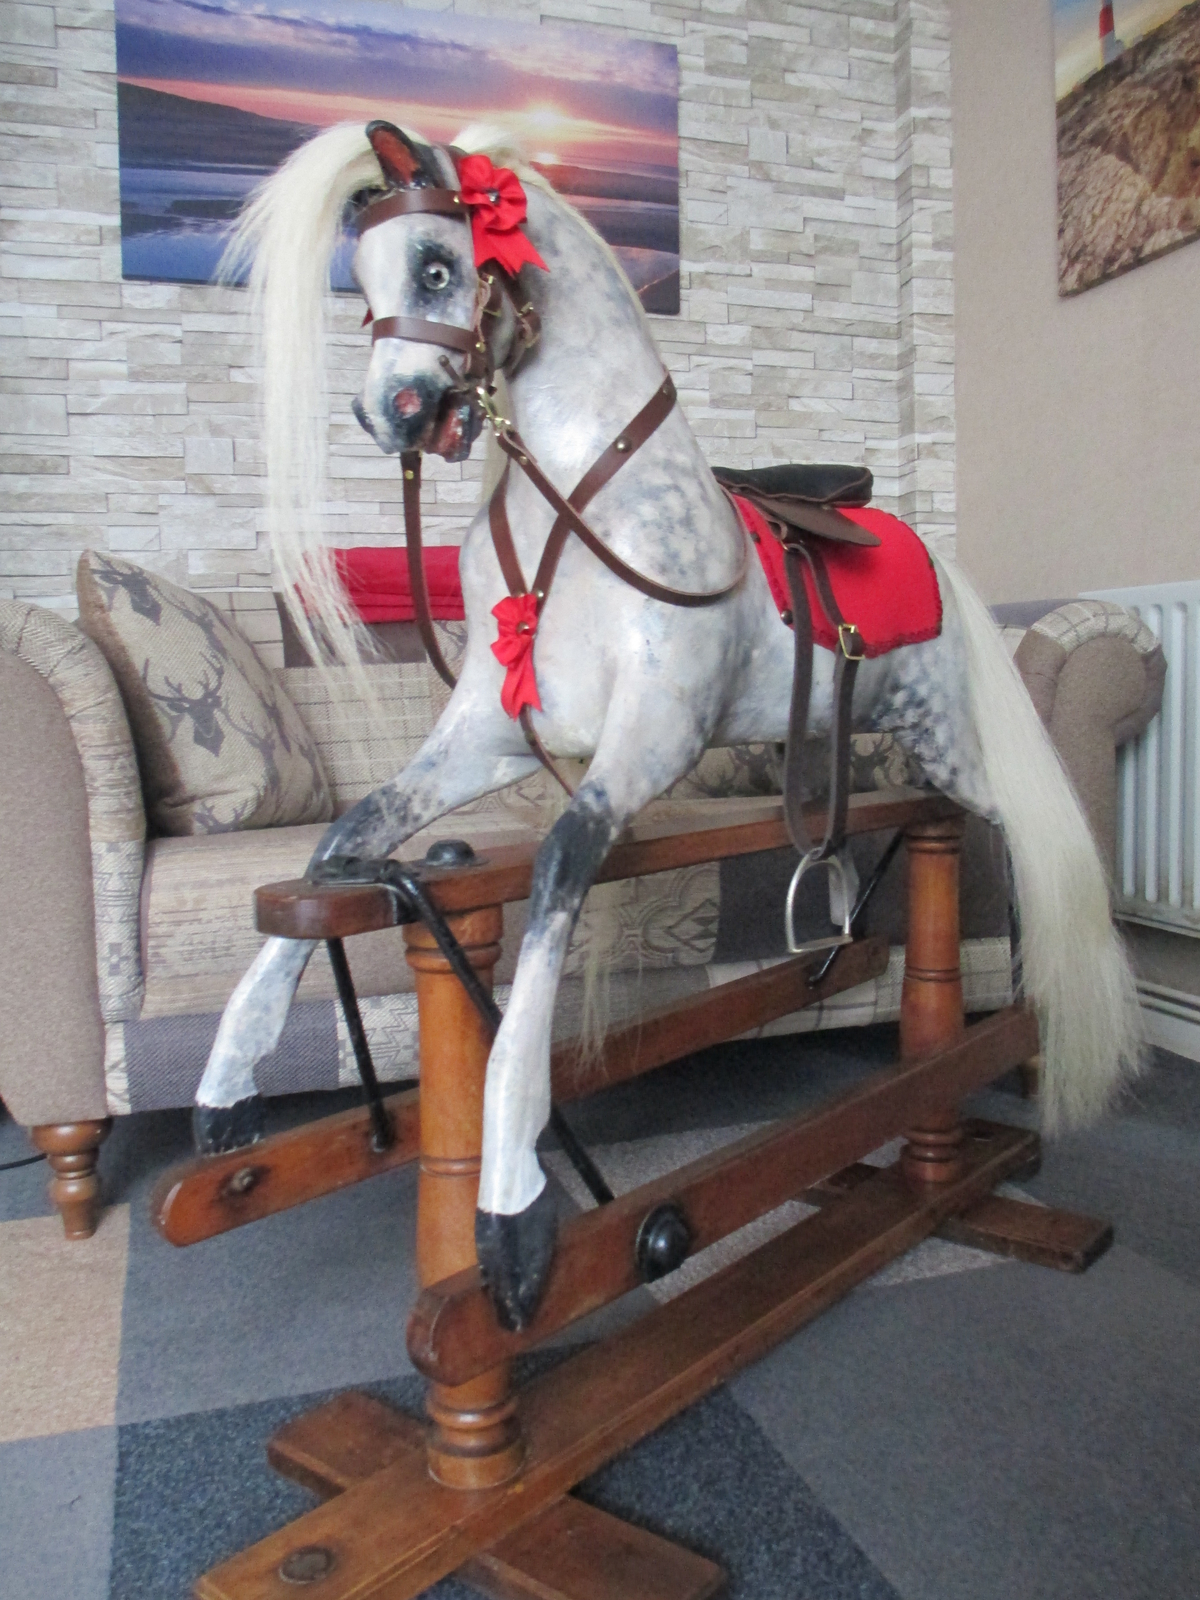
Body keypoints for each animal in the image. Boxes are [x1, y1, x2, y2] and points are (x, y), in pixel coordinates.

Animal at [194, 119, 1141, 1331]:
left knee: (1029, 837)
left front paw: (511, 1212)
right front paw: (229, 1084)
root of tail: (929, 553)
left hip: (950, 744)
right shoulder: (487, 736)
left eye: (440, 267)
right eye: (358, 279)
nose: (391, 411)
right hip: (821, 747)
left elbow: (557, 870)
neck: (585, 501)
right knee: (845, 850)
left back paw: (1038, 1018)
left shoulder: (654, 740)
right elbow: (344, 841)